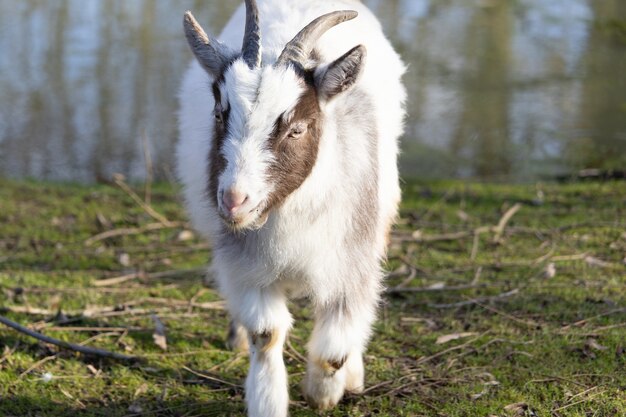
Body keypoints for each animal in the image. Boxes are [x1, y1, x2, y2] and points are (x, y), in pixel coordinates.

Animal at [176, 1, 404, 414]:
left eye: (297, 128)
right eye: (219, 115)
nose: (234, 200)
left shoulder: (351, 260)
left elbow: (335, 347)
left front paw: (323, 393)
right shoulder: (247, 266)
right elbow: (266, 334)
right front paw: (268, 402)